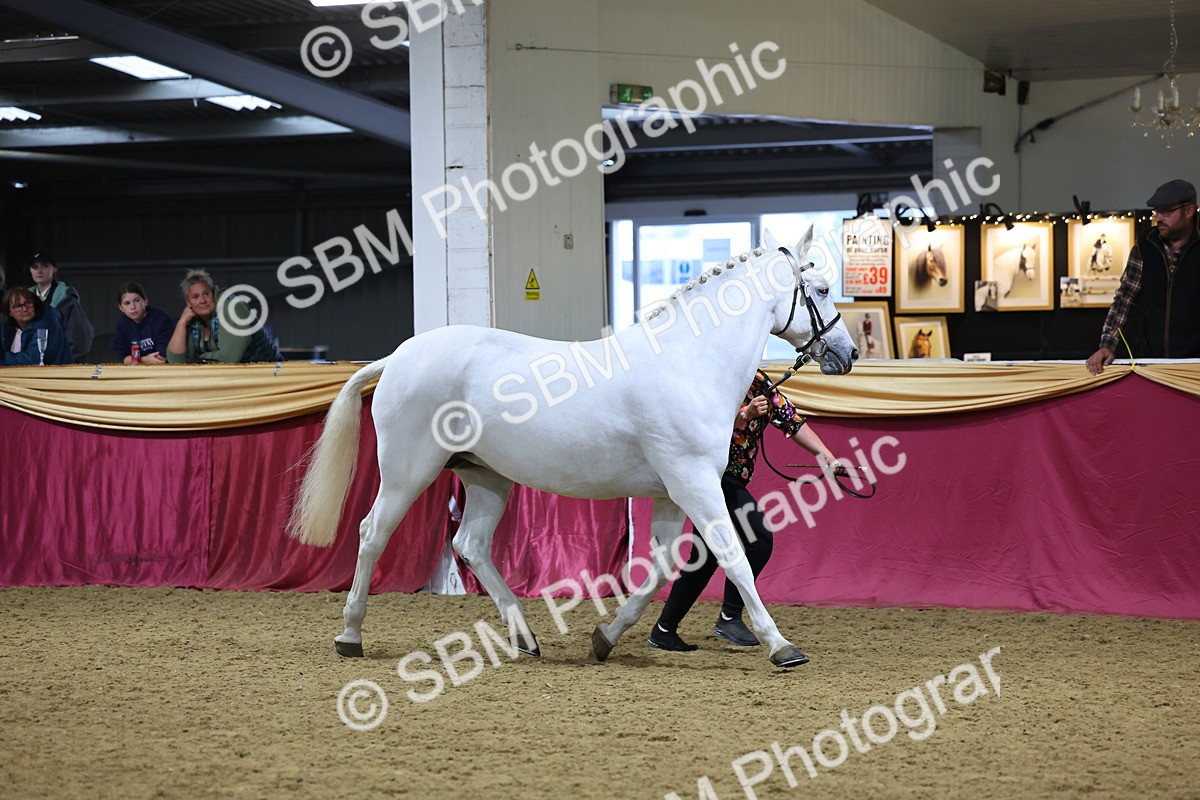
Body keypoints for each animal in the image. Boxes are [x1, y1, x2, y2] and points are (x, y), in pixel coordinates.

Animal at [287, 228, 858, 668]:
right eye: (822, 286)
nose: (848, 353)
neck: (688, 361)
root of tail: (399, 356)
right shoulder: (694, 483)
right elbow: (733, 557)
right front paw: (782, 646)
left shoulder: (673, 491)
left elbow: (661, 567)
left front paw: (604, 639)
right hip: (408, 472)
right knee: (372, 533)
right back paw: (350, 636)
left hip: (485, 476)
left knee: (471, 544)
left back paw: (524, 637)